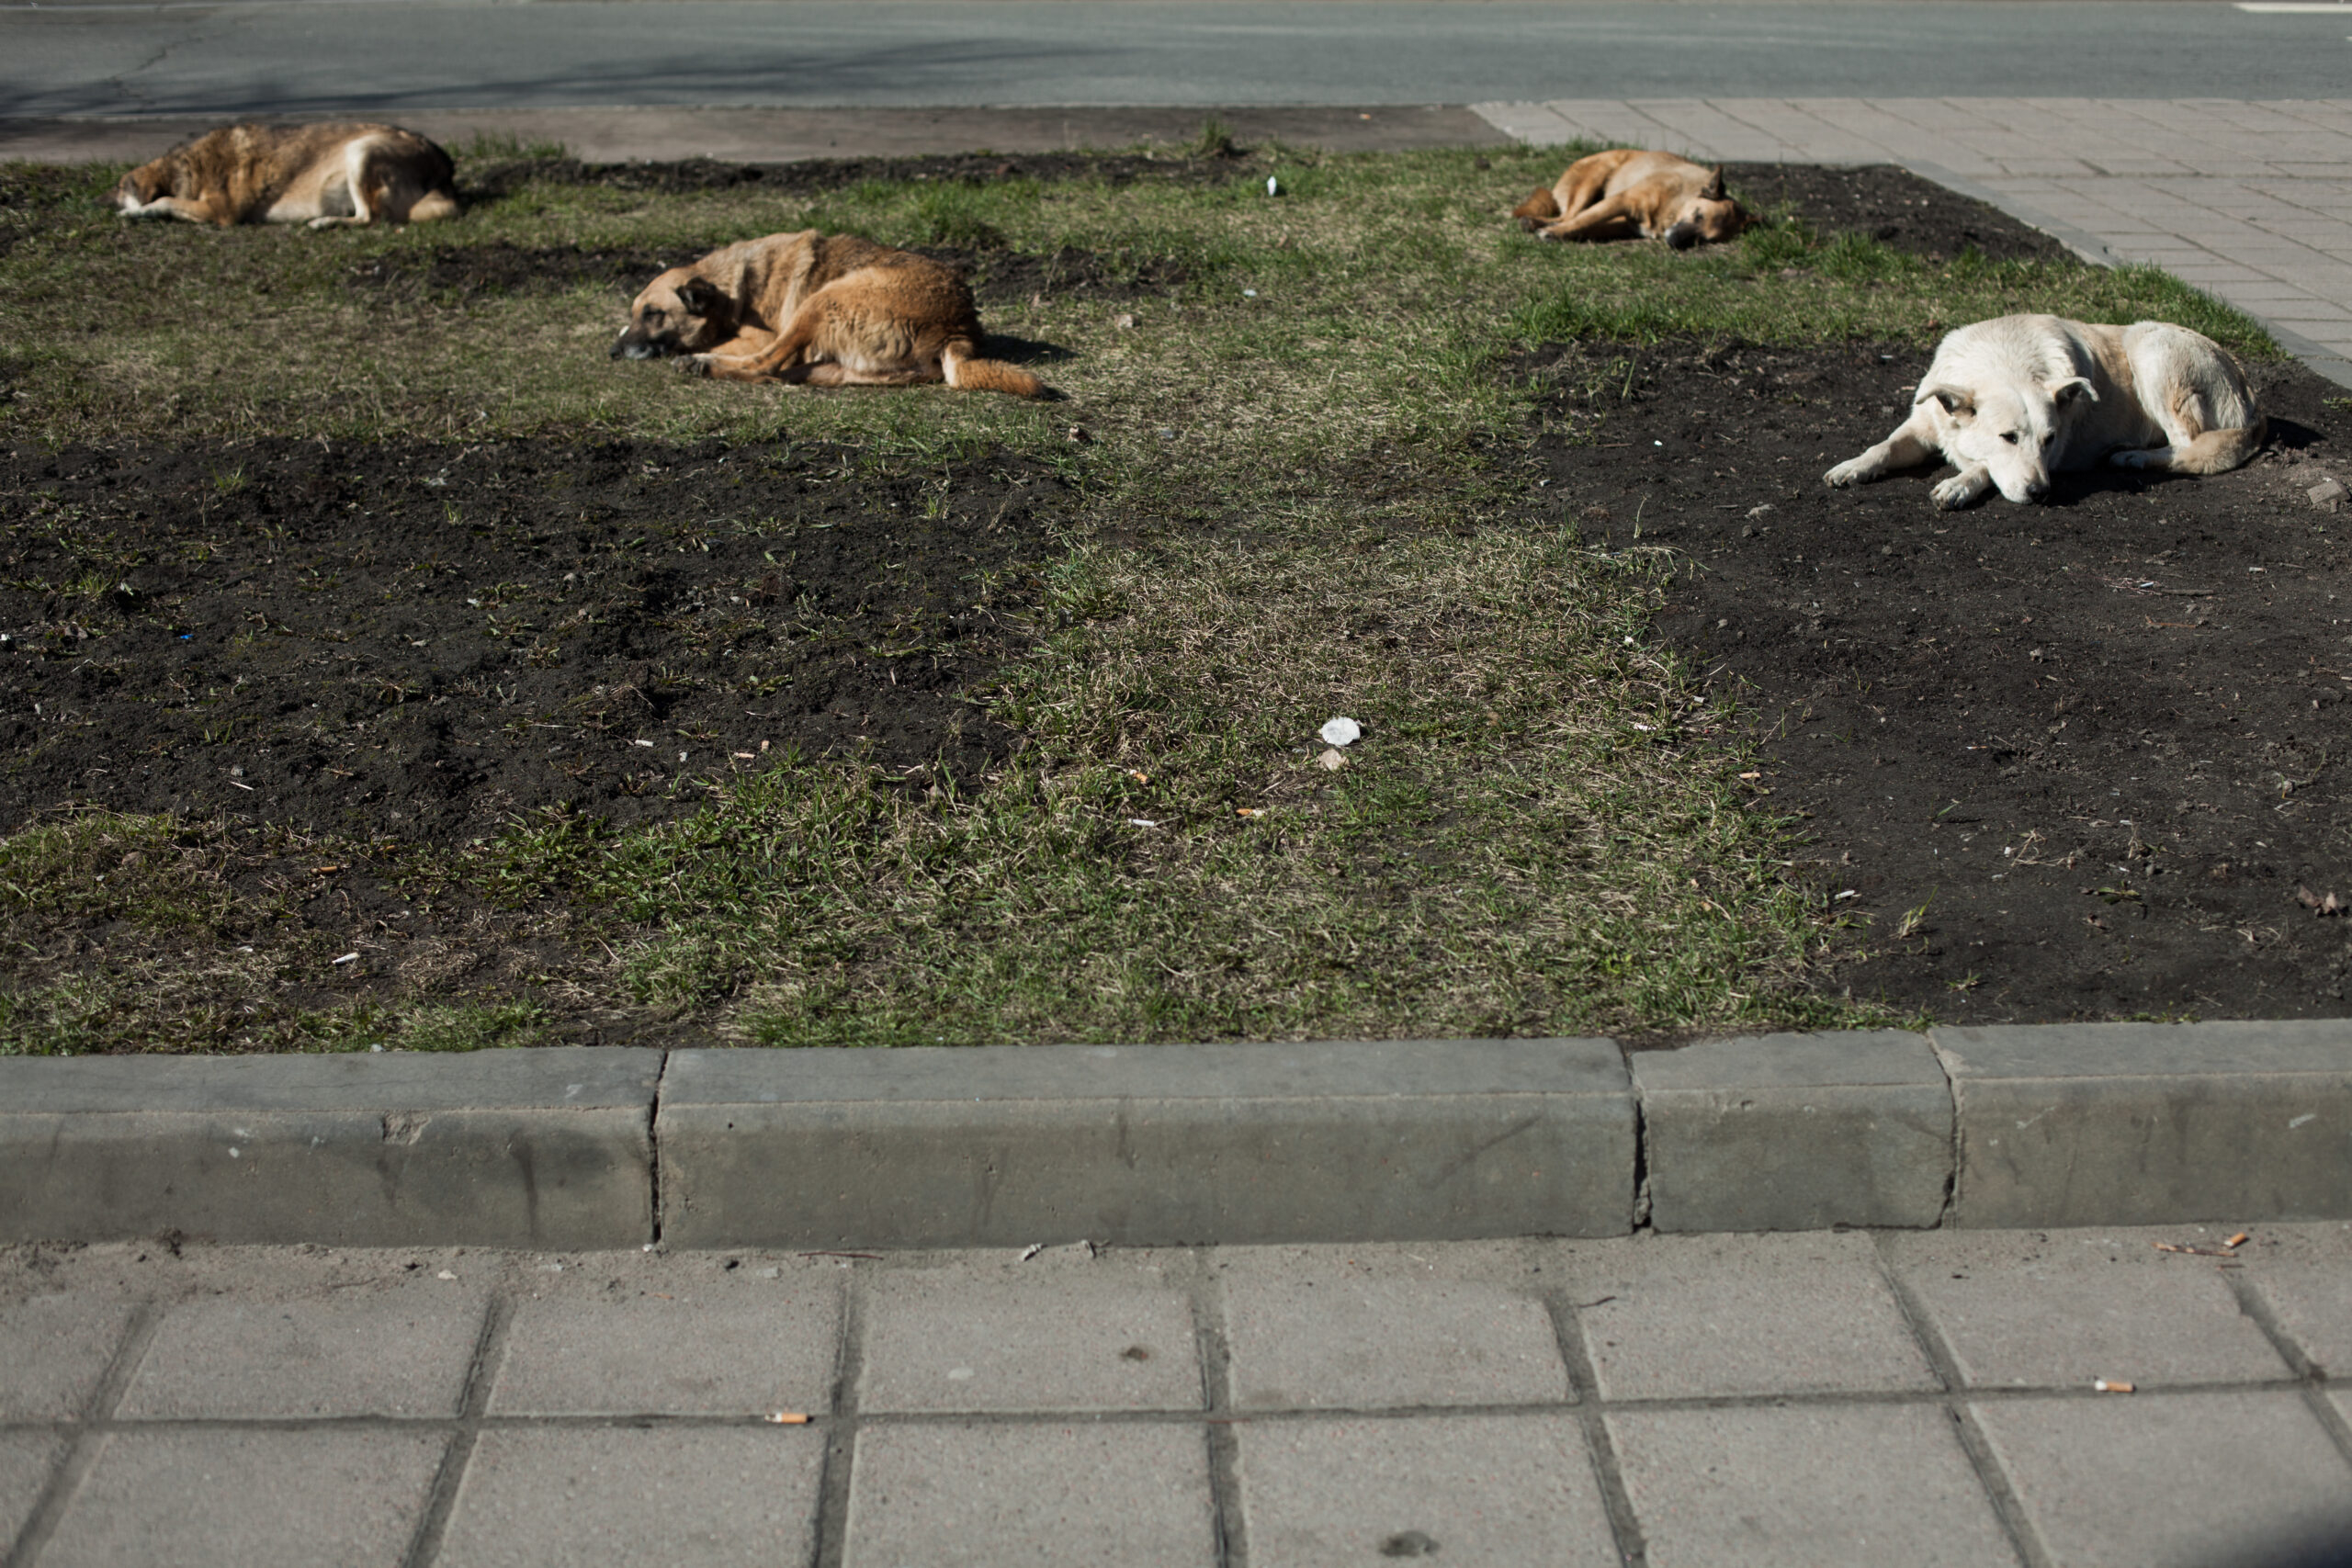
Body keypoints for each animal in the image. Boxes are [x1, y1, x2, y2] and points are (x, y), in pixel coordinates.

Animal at [112, 121, 458, 226]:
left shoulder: (219, 212)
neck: (187, 168)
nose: (100, 201)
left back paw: (323, 222)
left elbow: (162, 202)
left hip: (360, 151)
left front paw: (135, 212)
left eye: (118, 187)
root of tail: (443, 166)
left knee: (368, 217)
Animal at [611, 236, 1044, 401]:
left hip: (822, 300)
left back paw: (701, 364)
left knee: (765, 365)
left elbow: (747, 349)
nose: (614, 353)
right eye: (635, 312)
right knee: (787, 372)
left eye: (653, 314)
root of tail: (957, 329)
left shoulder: (758, 334)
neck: (733, 285)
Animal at [1514, 148, 1758, 250]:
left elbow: (1588, 226)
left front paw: (1562, 234)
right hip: (1595, 177)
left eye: (1705, 239)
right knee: (1569, 215)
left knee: (1566, 216)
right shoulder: (1623, 200)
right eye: (1698, 215)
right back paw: (1538, 224)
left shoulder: (1624, 223)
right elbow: (1583, 220)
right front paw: (1555, 233)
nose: (1675, 242)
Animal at [1815, 314, 2257, 512]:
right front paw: (1853, 467)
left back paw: (2133, 456)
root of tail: (2247, 385)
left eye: (2049, 440)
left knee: (2188, 446)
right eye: (2008, 437)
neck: (2002, 358)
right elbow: (1883, 447)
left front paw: (1960, 483)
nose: (2040, 493)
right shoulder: (1924, 425)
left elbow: (1984, 467)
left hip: (2151, 350)